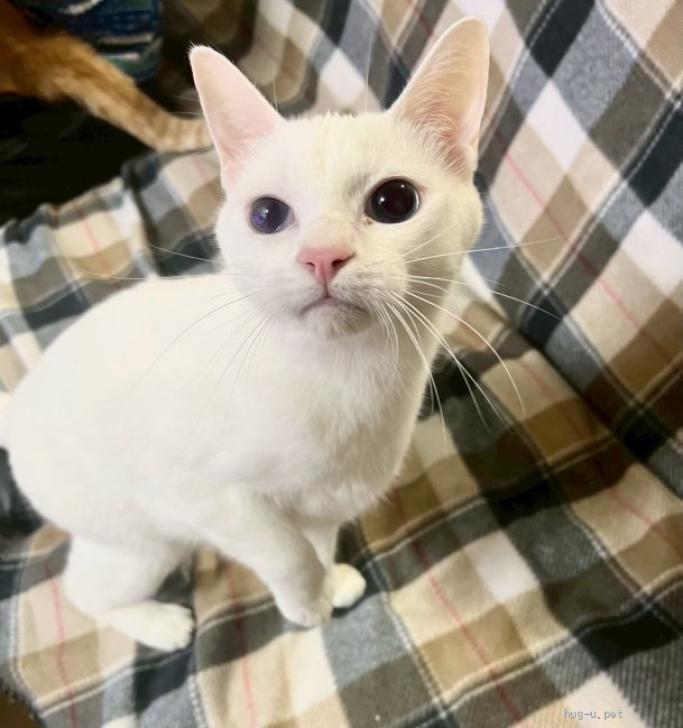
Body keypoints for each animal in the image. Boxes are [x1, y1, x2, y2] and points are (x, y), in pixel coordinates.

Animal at [0, 18, 489, 651]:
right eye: (267, 215)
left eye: (394, 201)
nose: (322, 255)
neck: (343, 379)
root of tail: (19, 403)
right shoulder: (200, 496)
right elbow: (286, 553)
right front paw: (306, 605)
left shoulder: (330, 500)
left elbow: (317, 542)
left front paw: (330, 583)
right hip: (143, 537)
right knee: (86, 589)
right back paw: (158, 624)